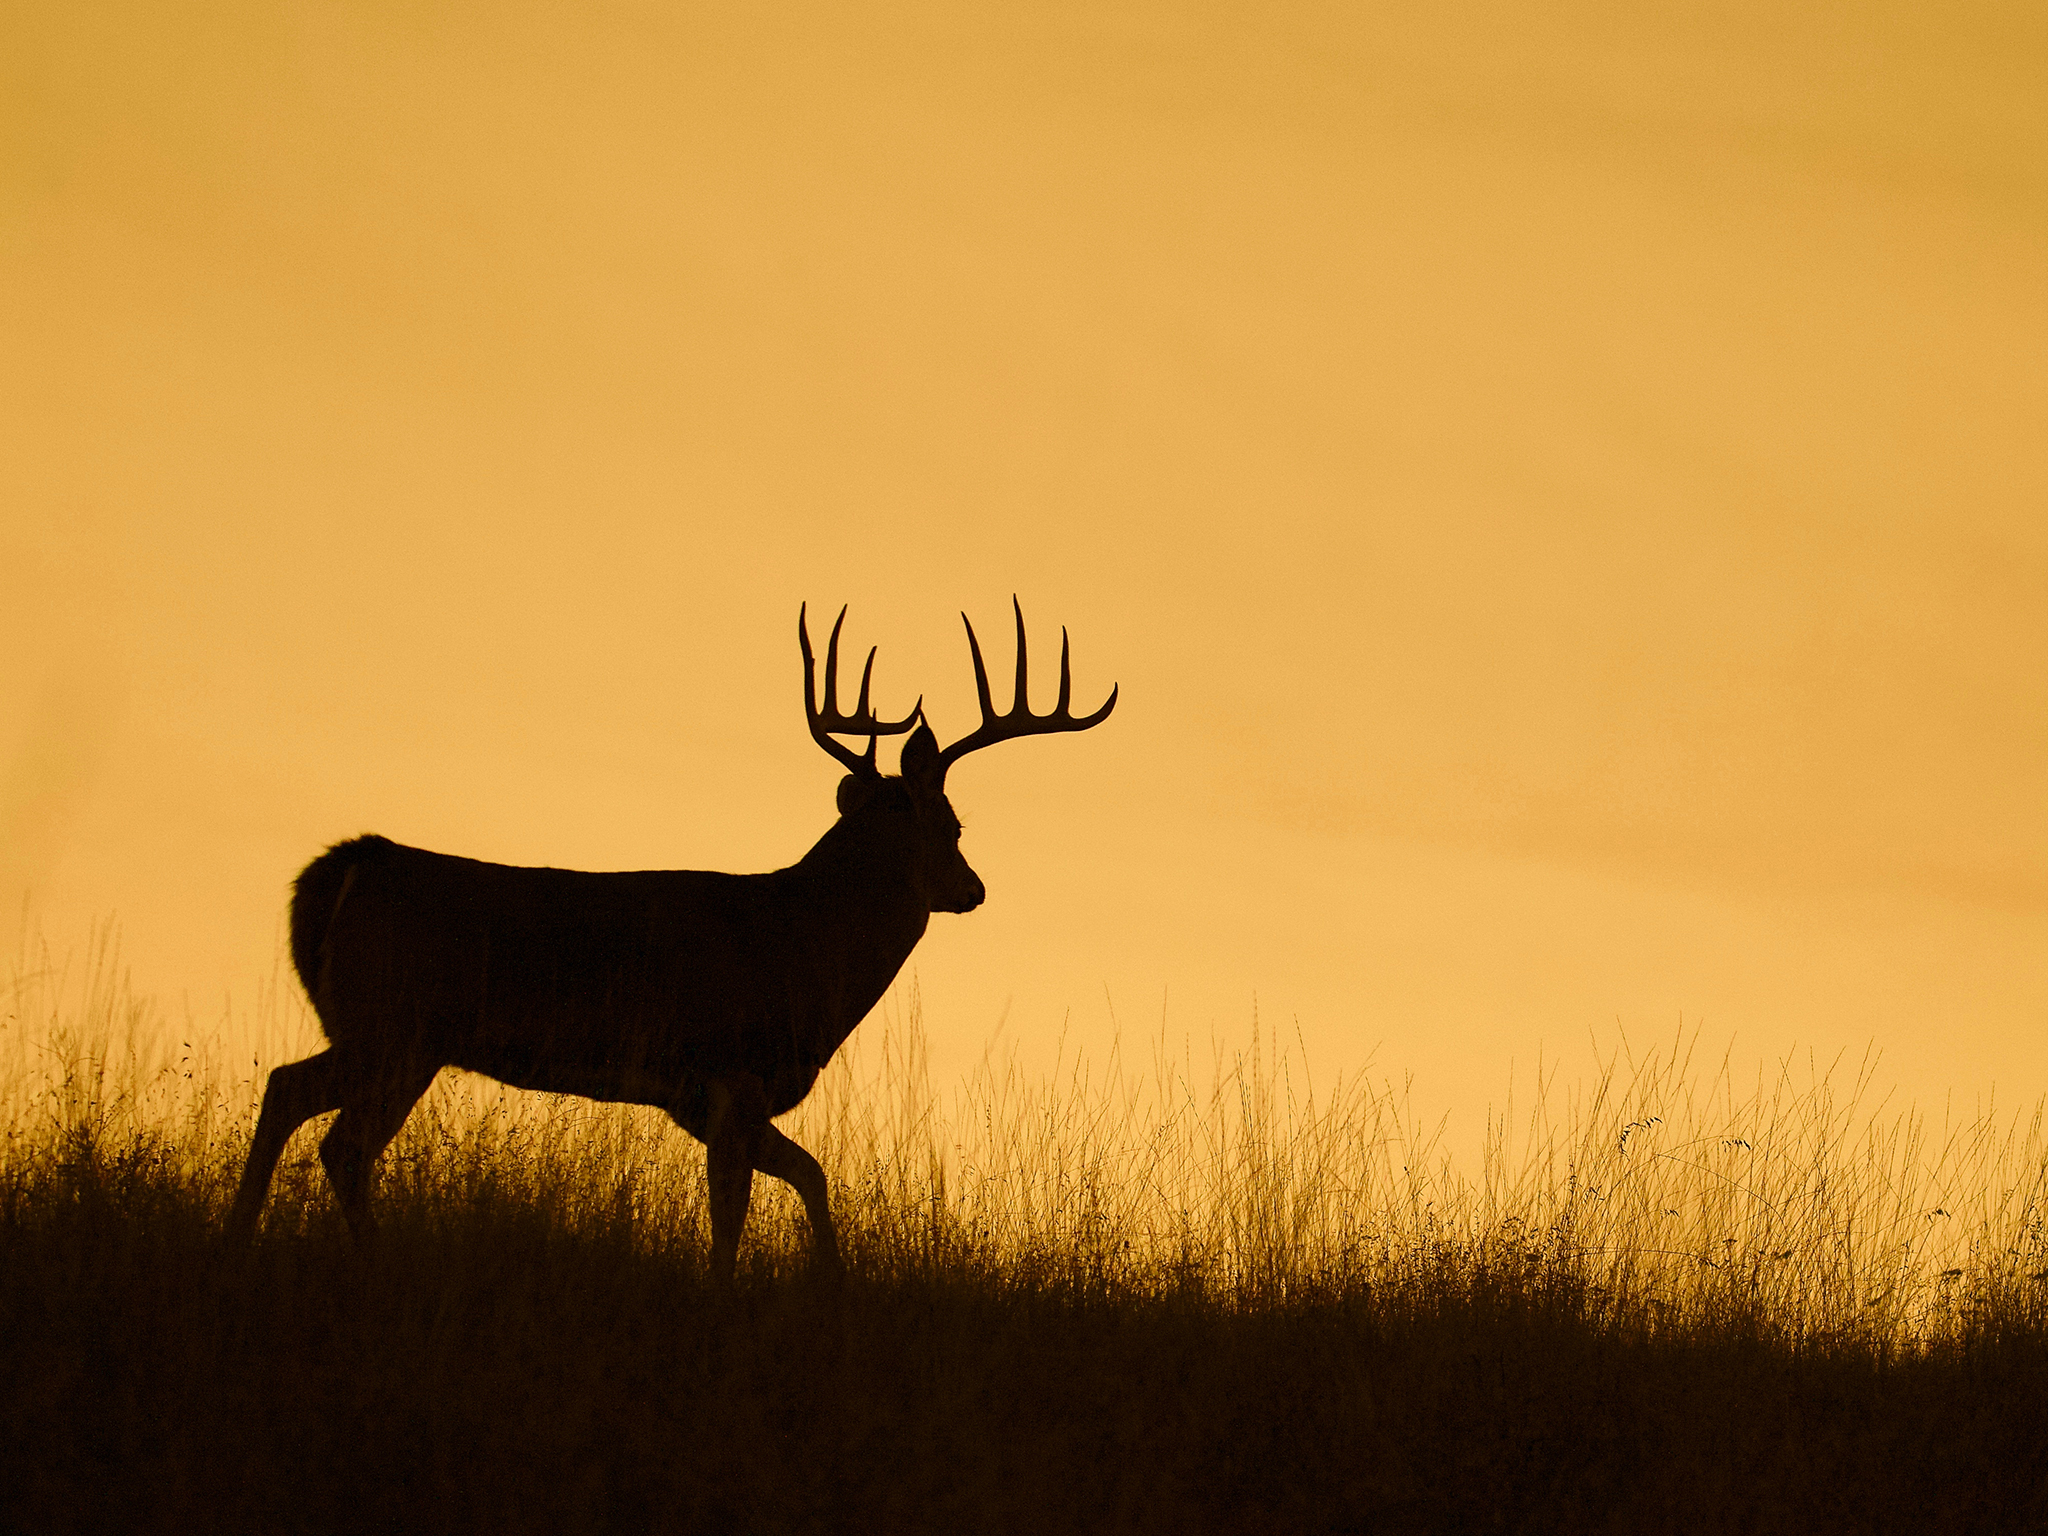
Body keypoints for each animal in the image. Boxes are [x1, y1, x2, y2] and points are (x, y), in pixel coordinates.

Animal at [224, 600, 1116, 1283]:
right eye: (953, 825)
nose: (974, 890)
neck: (806, 944)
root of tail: (347, 866)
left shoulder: (701, 1097)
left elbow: (810, 1173)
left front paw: (832, 1281)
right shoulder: (731, 1071)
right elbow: (731, 1210)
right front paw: (724, 1295)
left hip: (378, 1031)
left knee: (287, 1090)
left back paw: (239, 1238)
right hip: (400, 1028)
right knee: (341, 1142)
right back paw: (367, 1259)